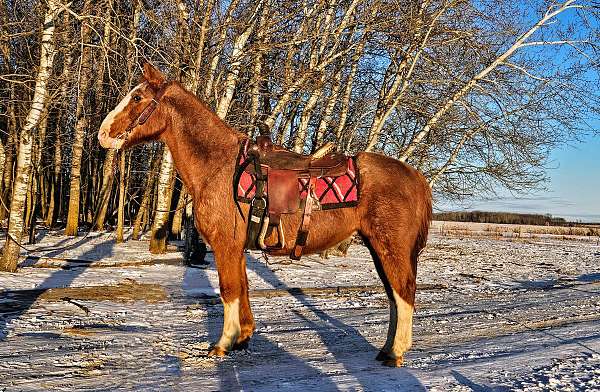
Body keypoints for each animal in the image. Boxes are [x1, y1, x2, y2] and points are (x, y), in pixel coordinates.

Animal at [101, 62, 434, 368]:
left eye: (137, 97)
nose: (103, 134)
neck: (219, 166)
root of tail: (416, 177)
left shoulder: (225, 246)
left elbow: (229, 290)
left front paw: (223, 344)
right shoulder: (237, 249)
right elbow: (242, 289)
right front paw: (243, 337)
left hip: (391, 248)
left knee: (403, 293)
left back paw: (395, 352)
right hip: (381, 249)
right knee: (394, 295)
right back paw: (386, 348)